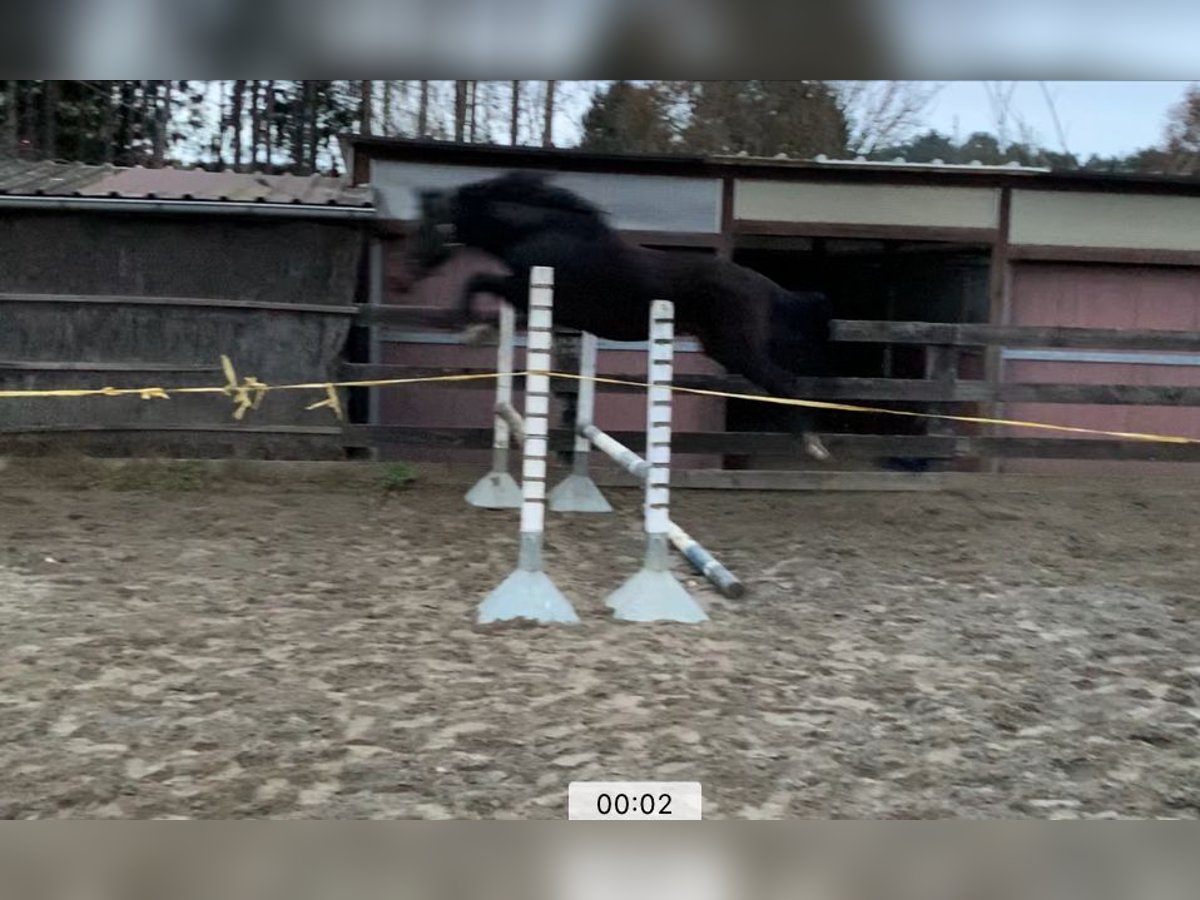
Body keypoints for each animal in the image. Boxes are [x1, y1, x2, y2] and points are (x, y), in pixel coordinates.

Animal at [410, 170, 835, 460]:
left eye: (428, 223)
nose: (411, 269)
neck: (542, 231)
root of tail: (766, 286)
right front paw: (482, 331)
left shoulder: (526, 287)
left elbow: (478, 280)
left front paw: (470, 330)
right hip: (720, 346)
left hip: (738, 348)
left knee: (785, 382)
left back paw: (812, 444)